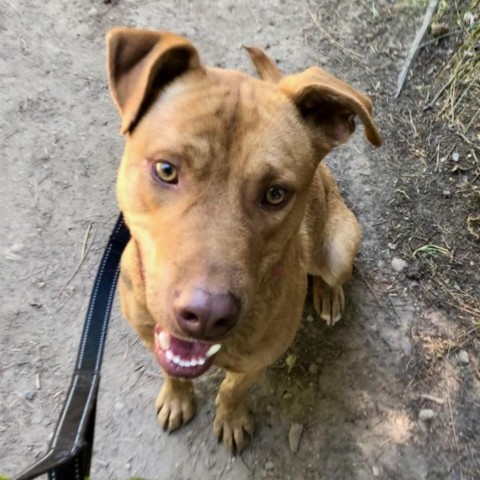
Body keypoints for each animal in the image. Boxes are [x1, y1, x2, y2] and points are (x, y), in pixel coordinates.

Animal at [106, 27, 382, 454]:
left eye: (275, 194)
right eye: (166, 170)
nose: (206, 315)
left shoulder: (259, 360)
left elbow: (234, 389)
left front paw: (231, 418)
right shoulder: (150, 334)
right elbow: (172, 371)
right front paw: (177, 397)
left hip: (340, 245)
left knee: (332, 272)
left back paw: (328, 294)